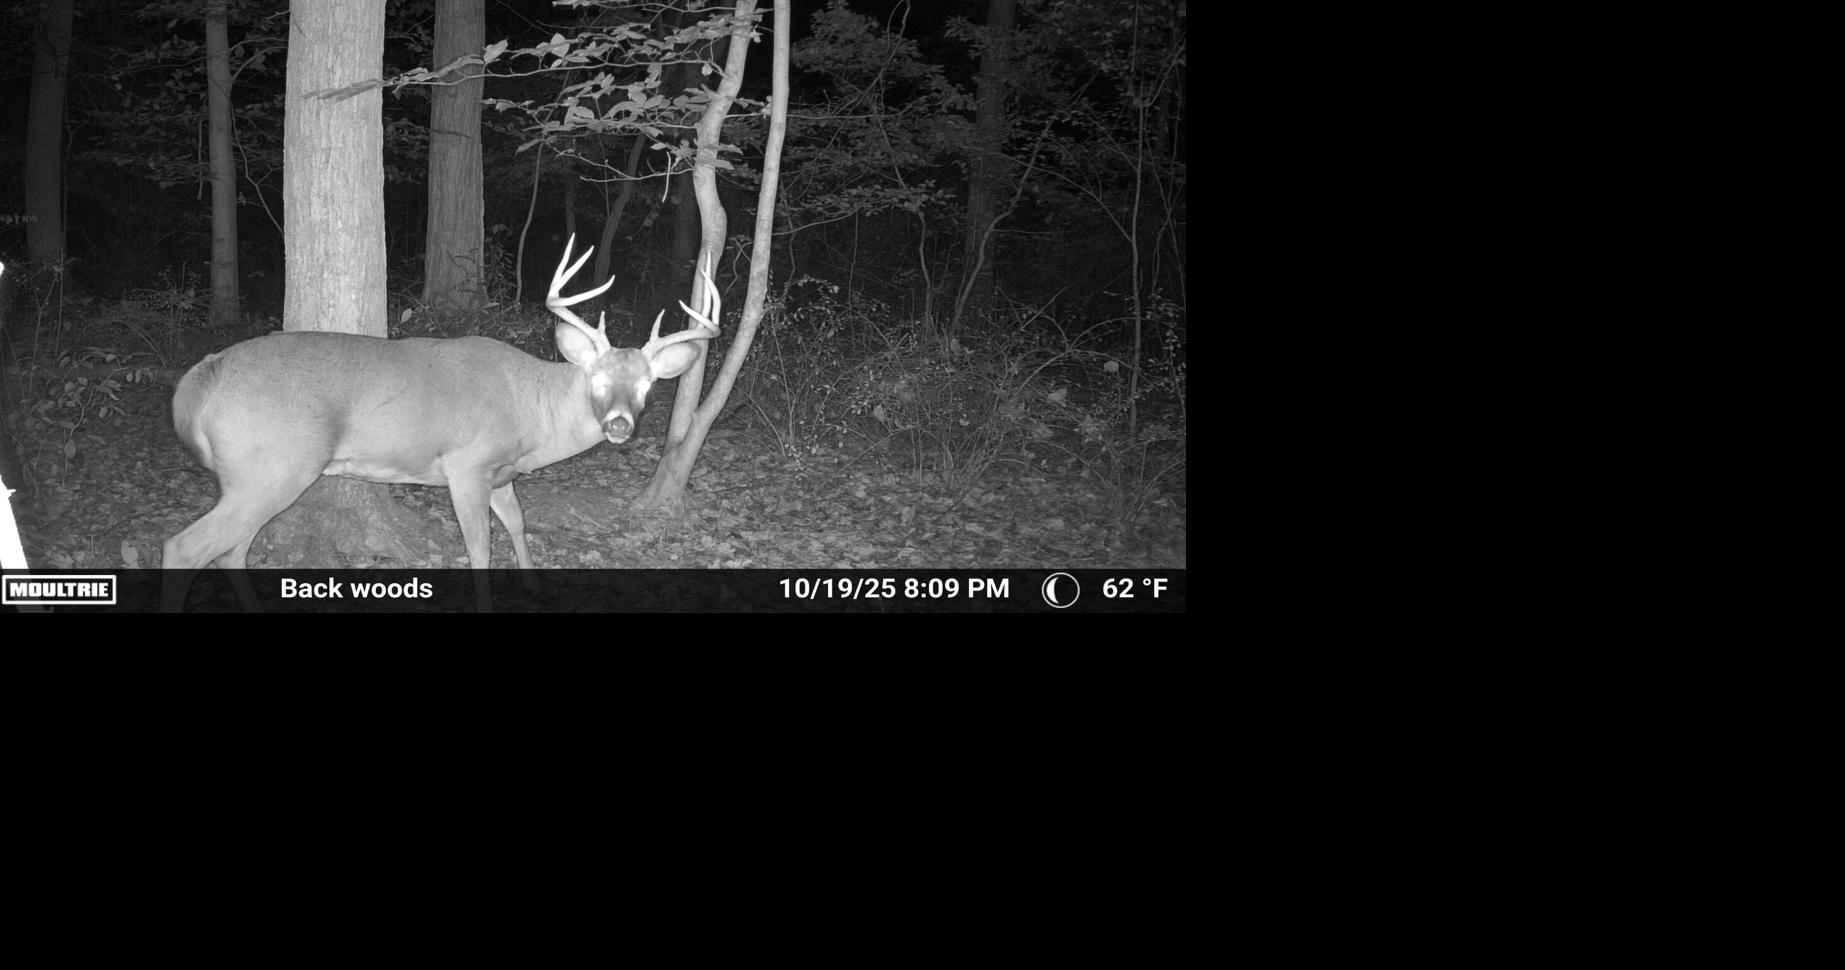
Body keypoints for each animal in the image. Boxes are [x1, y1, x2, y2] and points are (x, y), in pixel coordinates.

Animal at [160, 236, 719, 612]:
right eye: (598, 378)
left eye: (647, 384)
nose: (621, 425)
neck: (532, 411)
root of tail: (201, 378)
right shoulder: (467, 465)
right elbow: (479, 546)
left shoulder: (499, 472)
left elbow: (517, 521)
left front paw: (534, 583)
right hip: (272, 468)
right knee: (185, 547)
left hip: (255, 477)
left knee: (229, 551)